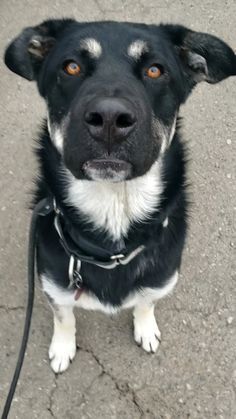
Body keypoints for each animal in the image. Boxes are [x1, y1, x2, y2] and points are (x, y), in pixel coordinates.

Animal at [4, 18, 236, 374]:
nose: (110, 119)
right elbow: (64, 317)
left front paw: (146, 328)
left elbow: (145, 302)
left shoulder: (160, 279)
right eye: (71, 66)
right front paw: (62, 347)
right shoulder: (54, 286)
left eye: (155, 70)